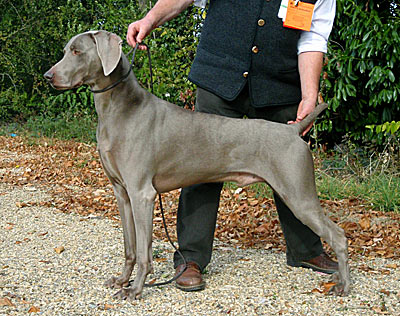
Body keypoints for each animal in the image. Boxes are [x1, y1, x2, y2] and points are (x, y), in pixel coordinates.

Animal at [44, 30, 350, 300]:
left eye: (77, 52)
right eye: (66, 50)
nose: (48, 76)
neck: (119, 109)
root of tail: (293, 129)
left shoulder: (142, 194)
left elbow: (143, 252)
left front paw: (135, 290)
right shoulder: (122, 193)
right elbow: (130, 247)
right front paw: (122, 280)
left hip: (299, 195)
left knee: (338, 235)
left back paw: (343, 285)